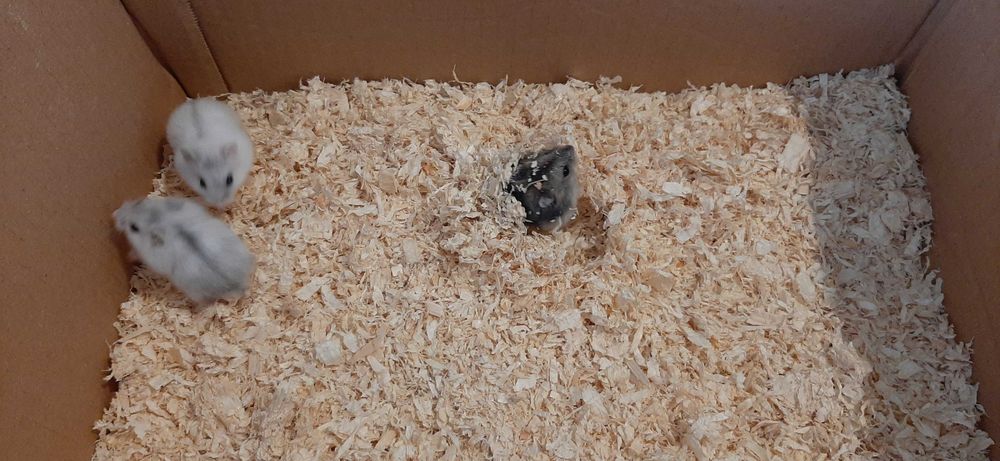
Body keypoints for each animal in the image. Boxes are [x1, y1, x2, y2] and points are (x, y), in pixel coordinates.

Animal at [114, 196, 256, 305]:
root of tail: (238, 285)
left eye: (133, 227)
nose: (114, 214)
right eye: (140, 201)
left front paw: (129, 256)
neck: (162, 220)